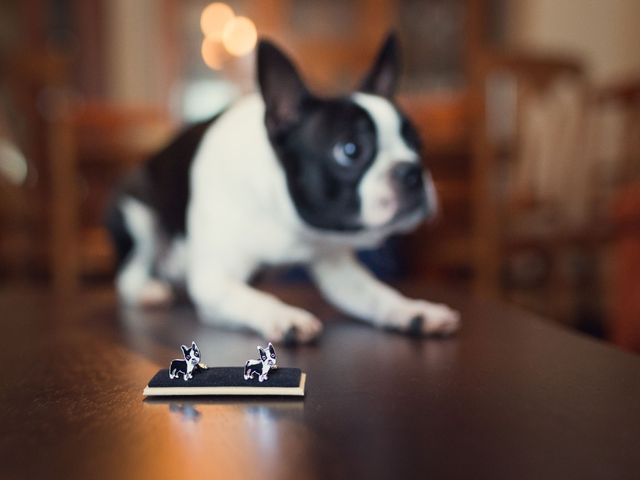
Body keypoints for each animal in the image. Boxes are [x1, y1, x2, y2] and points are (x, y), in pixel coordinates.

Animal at [109, 32, 460, 342]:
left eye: (418, 144)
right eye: (350, 150)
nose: (412, 171)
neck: (283, 213)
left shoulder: (337, 269)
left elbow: (377, 294)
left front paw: (414, 311)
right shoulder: (214, 281)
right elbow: (251, 299)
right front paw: (283, 316)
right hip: (136, 214)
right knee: (128, 273)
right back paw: (148, 291)